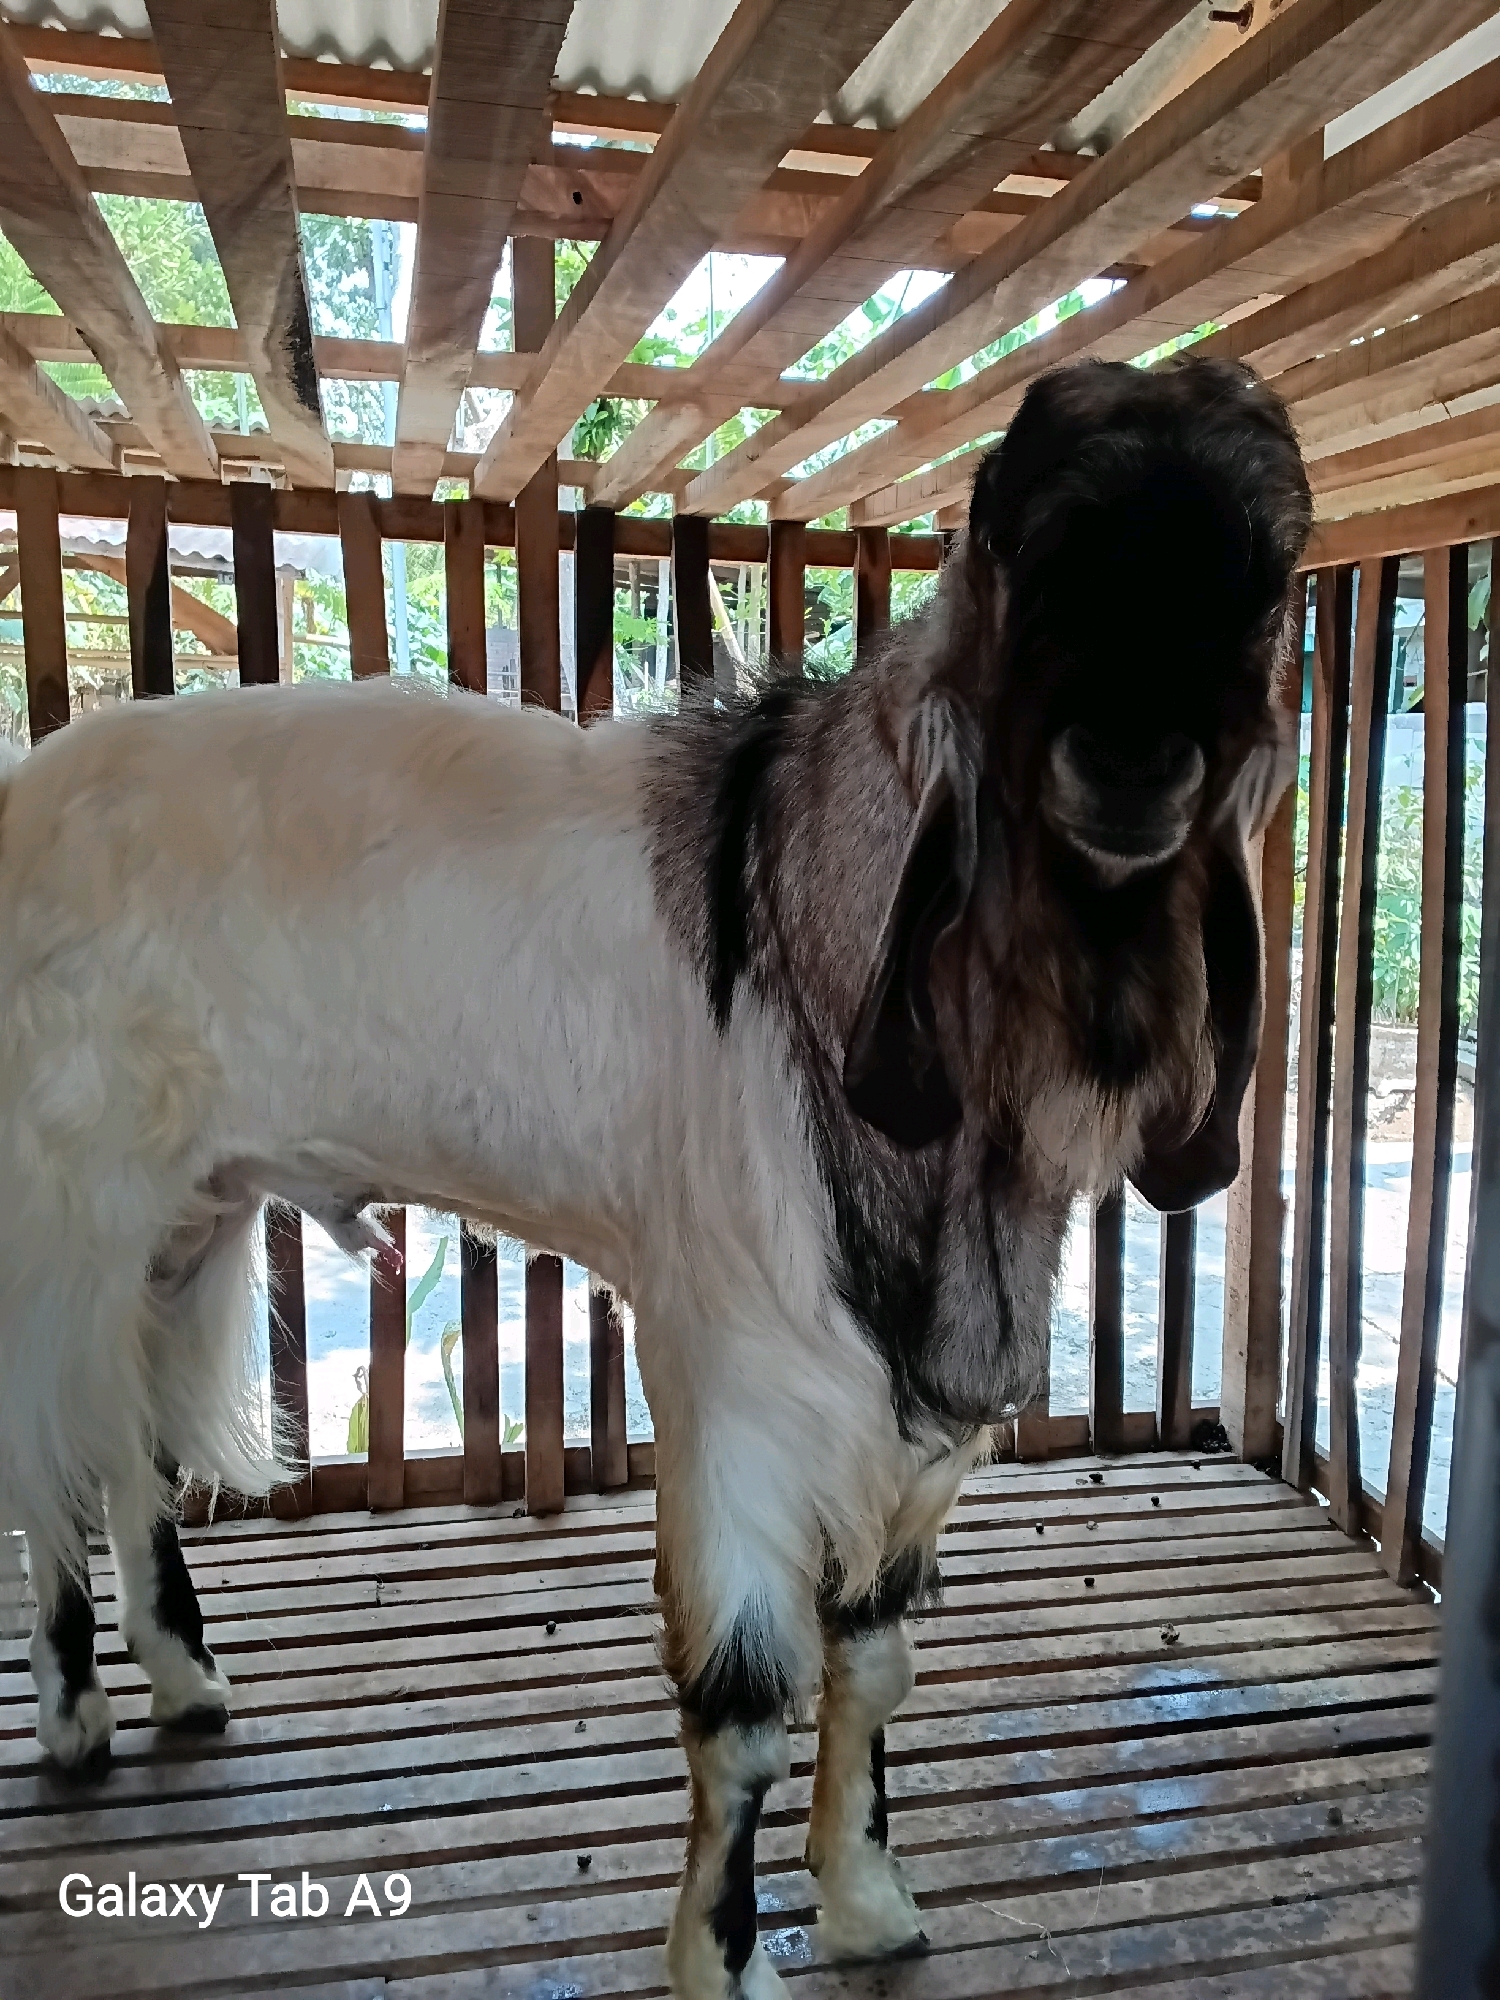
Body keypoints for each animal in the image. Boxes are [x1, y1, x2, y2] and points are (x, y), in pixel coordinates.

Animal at [0, 356, 1310, 2000]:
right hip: (63, 1202)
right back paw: (75, 1717)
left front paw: (869, 1900)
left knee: (121, 1443)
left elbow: (876, 1654)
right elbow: (744, 1697)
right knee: (47, 1451)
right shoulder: (734, 1381)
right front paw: (723, 1957)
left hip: (187, 1212)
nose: (1130, 759)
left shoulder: (911, 1420)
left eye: (1263, 585)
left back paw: (184, 1680)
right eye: (1021, 554)